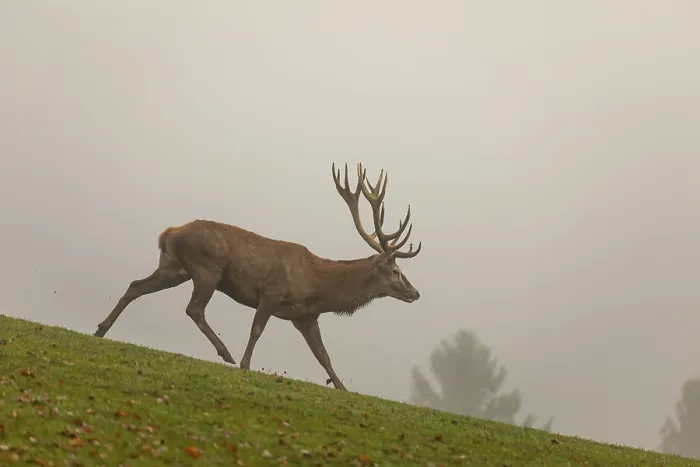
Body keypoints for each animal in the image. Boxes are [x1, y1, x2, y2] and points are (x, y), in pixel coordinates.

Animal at [93, 163, 422, 390]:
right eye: (396, 271)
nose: (415, 293)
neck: (317, 285)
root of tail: (168, 233)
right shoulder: (272, 293)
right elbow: (257, 329)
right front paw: (245, 364)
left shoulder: (306, 316)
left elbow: (323, 355)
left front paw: (341, 386)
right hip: (207, 269)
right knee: (193, 308)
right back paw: (225, 353)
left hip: (174, 268)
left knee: (136, 286)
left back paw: (101, 330)